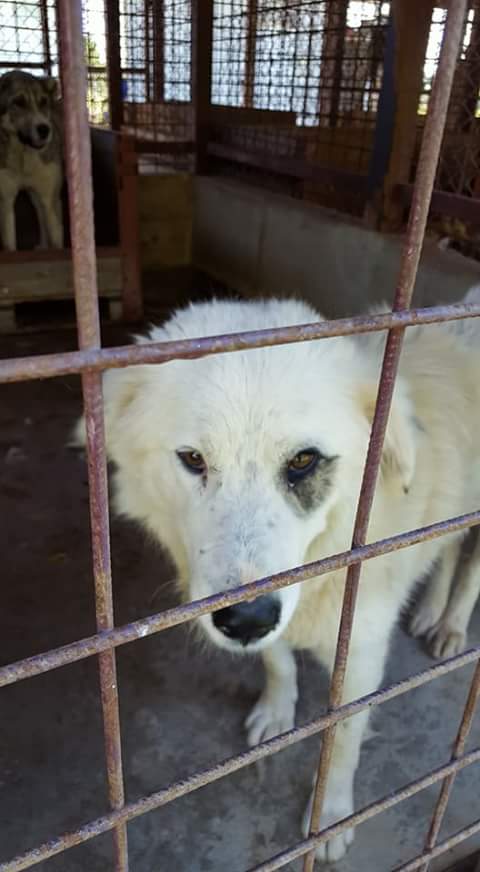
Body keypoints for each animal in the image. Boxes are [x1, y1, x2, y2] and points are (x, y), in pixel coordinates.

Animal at [76, 296, 480, 860]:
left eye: (304, 461)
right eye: (193, 459)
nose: (246, 619)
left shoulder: (361, 650)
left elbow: (344, 736)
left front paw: (329, 815)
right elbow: (277, 660)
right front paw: (276, 709)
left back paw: (450, 624)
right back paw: (428, 610)